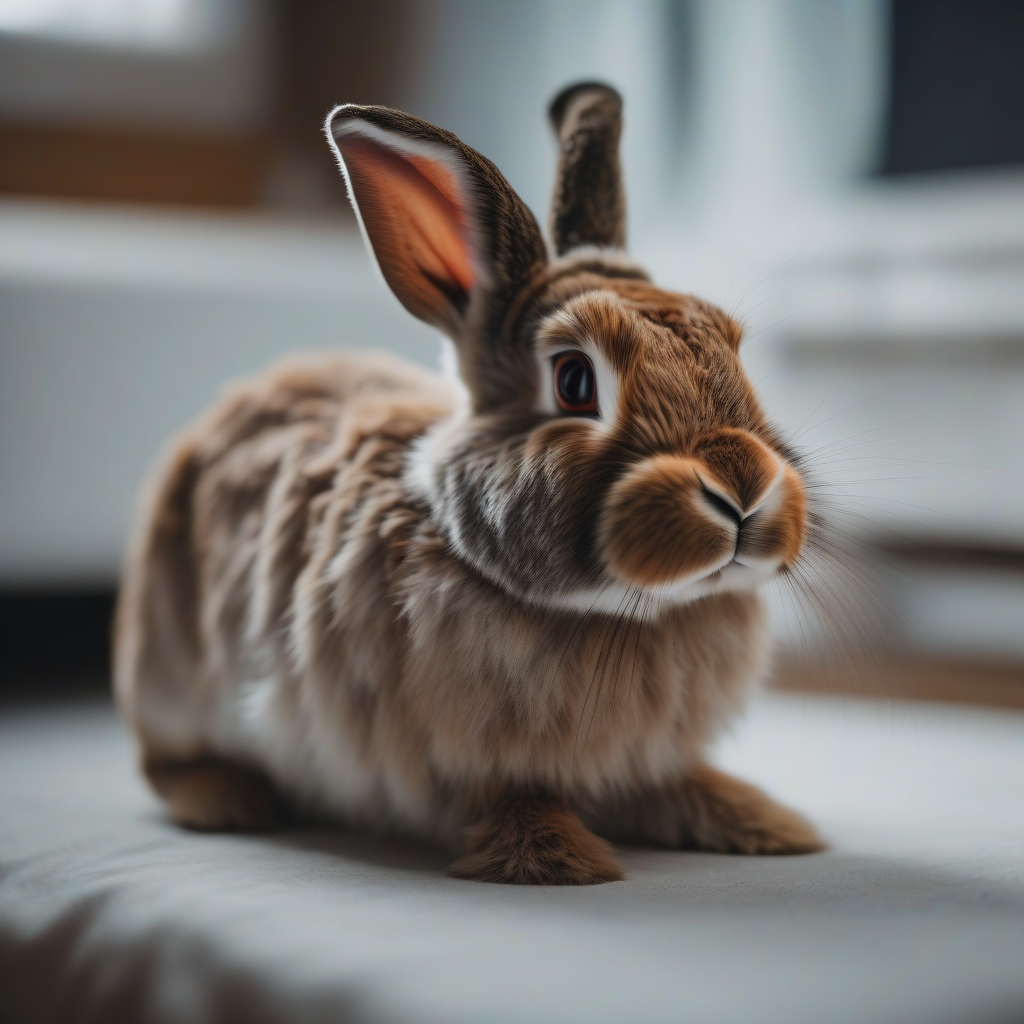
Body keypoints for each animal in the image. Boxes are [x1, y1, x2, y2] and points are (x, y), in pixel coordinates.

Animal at [115, 81, 824, 885]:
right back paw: (227, 801)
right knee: (163, 763)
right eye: (574, 381)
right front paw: (555, 860)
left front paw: (767, 825)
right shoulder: (454, 763)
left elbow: (675, 784)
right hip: (172, 675)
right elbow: (512, 801)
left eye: (736, 354)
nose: (742, 487)